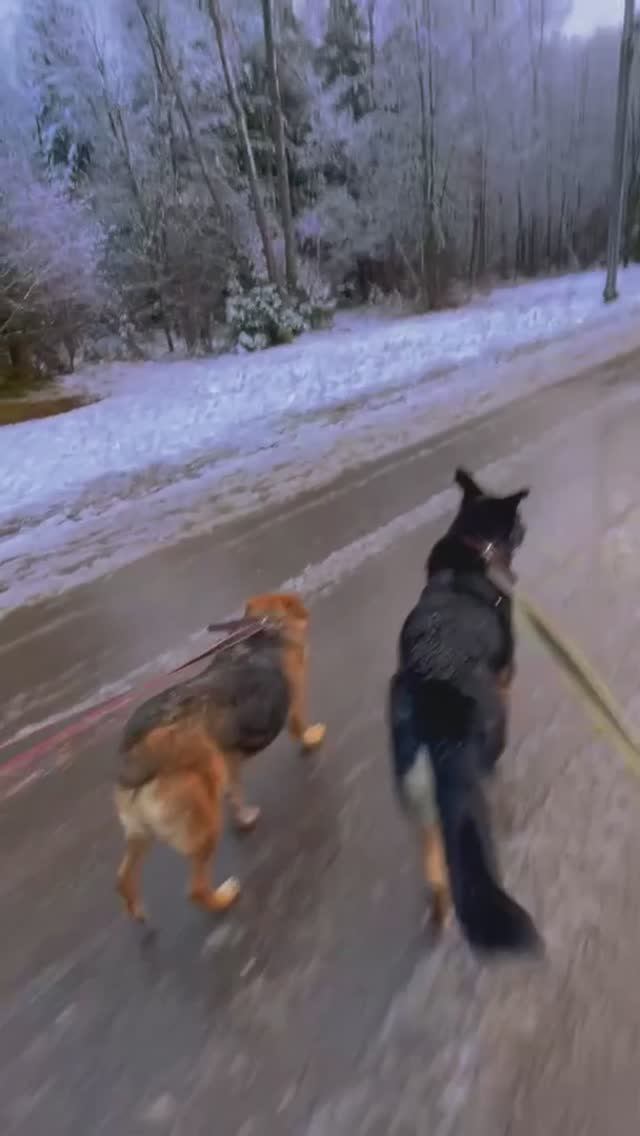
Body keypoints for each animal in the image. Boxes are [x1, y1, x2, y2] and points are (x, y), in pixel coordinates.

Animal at [114, 592, 326, 922]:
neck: (265, 630)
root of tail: (139, 749)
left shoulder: (229, 758)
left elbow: (235, 791)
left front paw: (244, 815)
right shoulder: (294, 706)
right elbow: (300, 729)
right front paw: (313, 738)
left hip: (140, 832)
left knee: (123, 877)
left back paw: (136, 910)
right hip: (204, 817)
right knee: (196, 889)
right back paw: (224, 897)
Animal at [388, 468, 541, 954]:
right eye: (518, 521)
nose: (525, 529)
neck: (475, 549)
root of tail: (434, 688)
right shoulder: (505, 678)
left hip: (415, 782)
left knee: (435, 859)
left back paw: (439, 911)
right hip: (478, 753)